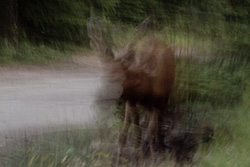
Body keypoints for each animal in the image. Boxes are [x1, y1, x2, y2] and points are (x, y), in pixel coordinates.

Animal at [88, 17, 176, 163]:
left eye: (118, 77)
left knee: (157, 122)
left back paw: (158, 144)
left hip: (165, 97)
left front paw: (155, 155)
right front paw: (127, 155)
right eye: (102, 74)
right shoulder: (131, 101)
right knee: (133, 124)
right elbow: (132, 129)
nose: (99, 98)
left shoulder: (159, 101)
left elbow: (151, 129)